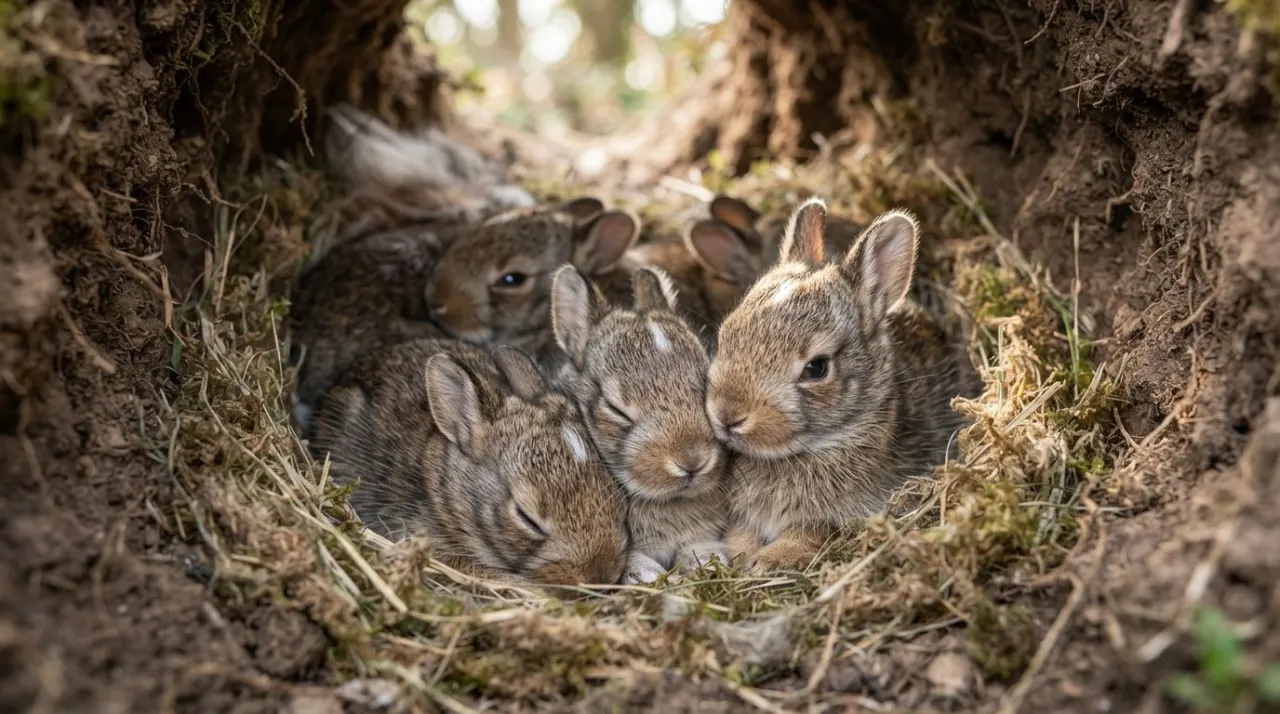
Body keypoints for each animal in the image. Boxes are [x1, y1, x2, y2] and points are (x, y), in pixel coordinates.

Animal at [704, 199, 978, 572]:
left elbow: (810, 533)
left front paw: (770, 559)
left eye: (816, 368)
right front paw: (738, 554)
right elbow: (741, 532)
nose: (728, 416)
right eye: (726, 335)